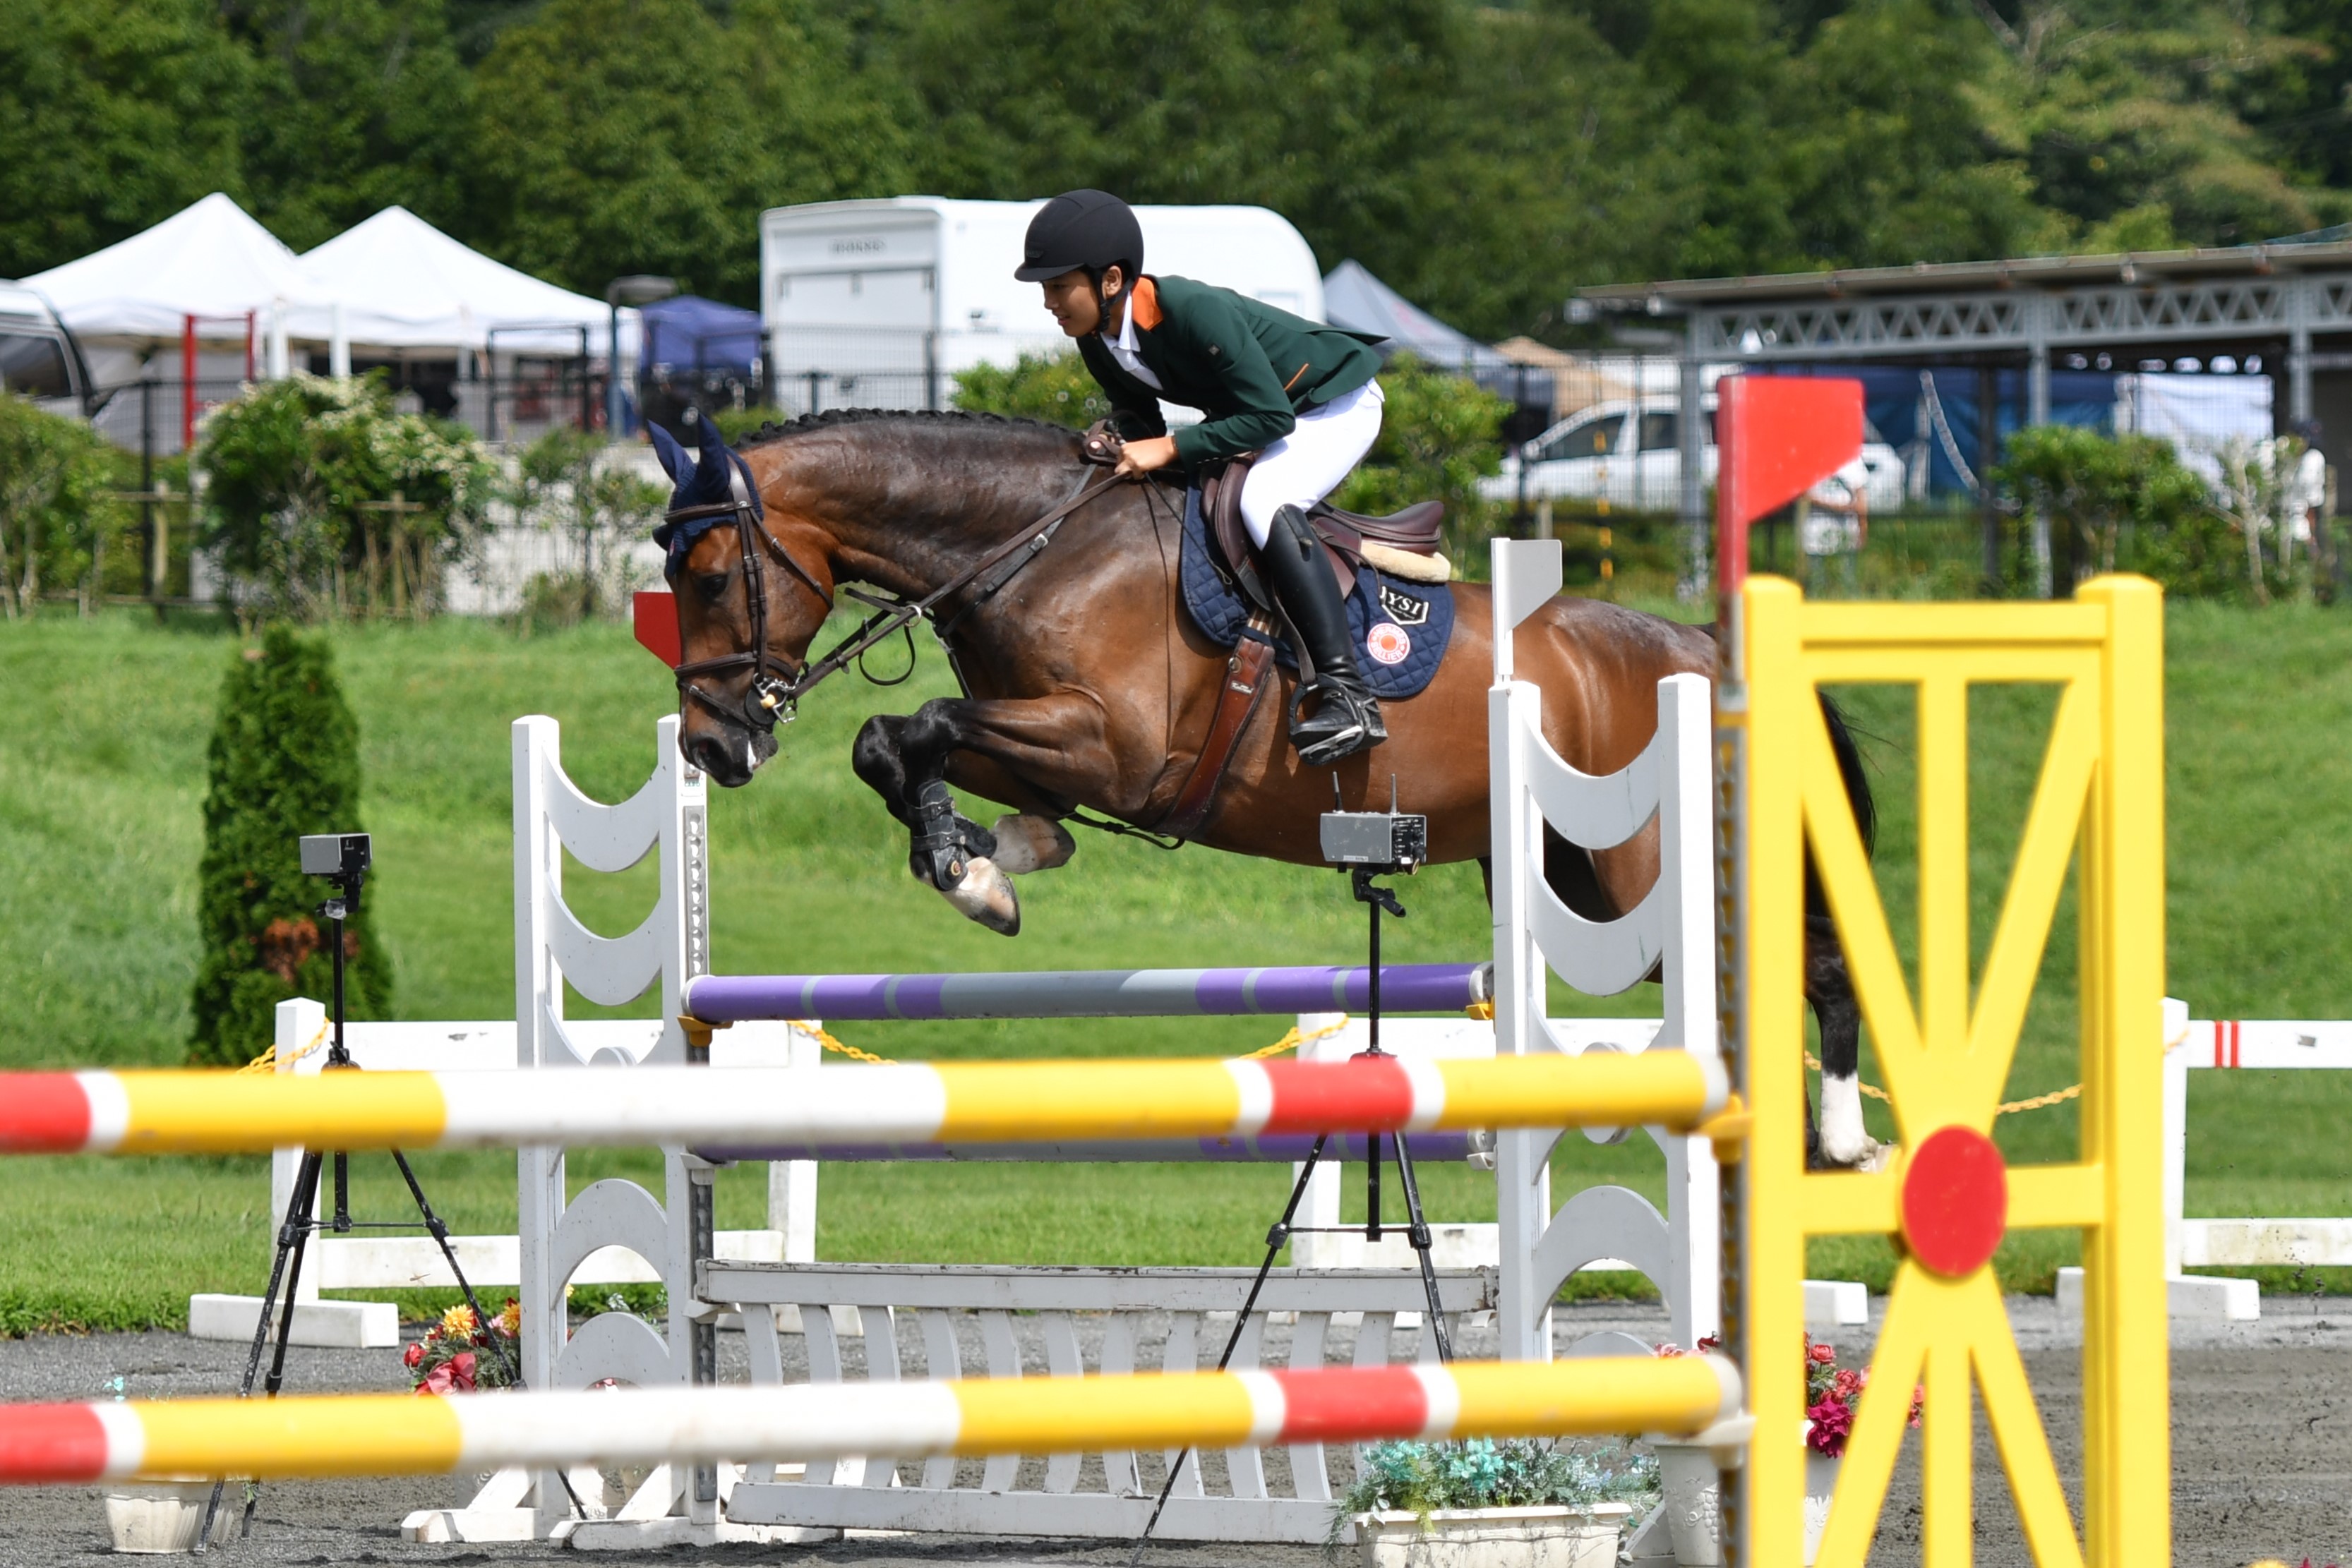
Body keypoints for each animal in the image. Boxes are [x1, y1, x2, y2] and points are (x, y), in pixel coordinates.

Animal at [648, 409, 1881, 1168]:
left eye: (705, 575)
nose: (710, 747)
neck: (1030, 546)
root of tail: (1693, 644)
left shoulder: (1115, 747)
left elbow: (914, 728)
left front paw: (971, 869)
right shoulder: (1049, 739)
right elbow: (901, 747)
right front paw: (995, 861)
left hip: (1641, 879)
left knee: (1802, 965)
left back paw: (1841, 1137)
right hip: (1566, 874)